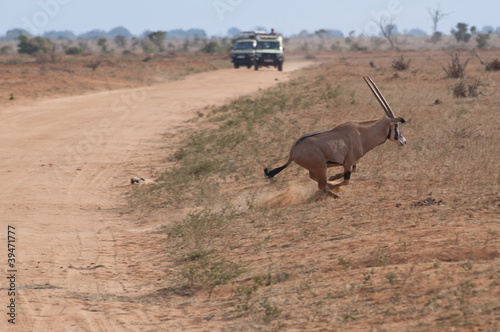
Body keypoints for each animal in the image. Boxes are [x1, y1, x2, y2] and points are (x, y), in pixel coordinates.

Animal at [266, 76, 406, 198]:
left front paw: (333, 178)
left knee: (316, 179)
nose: (403, 141)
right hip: (321, 167)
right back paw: (334, 195)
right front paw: (334, 184)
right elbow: (346, 181)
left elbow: (353, 172)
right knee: (322, 186)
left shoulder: (353, 162)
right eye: (396, 126)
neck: (361, 133)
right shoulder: (348, 163)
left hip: (316, 168)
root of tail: (292, 153)